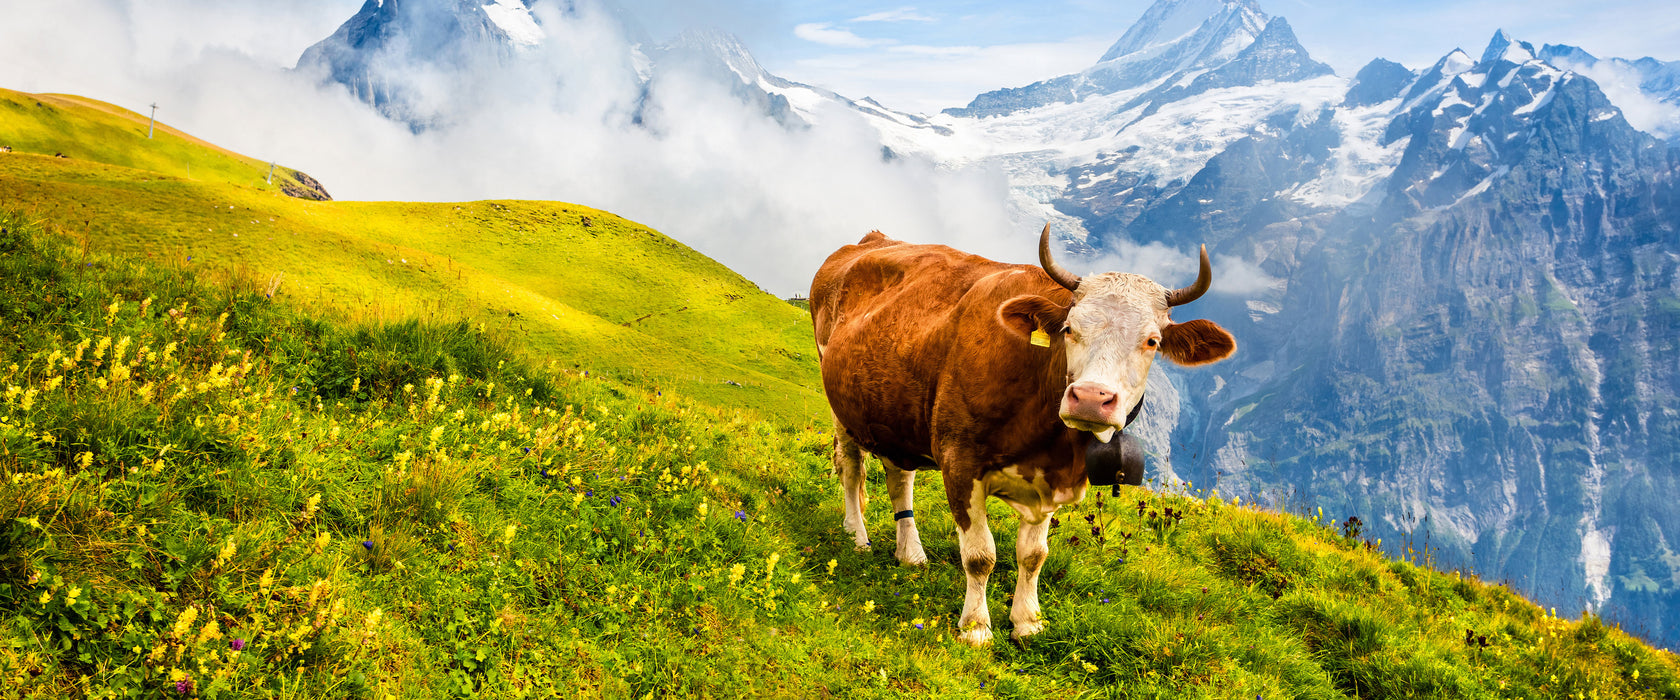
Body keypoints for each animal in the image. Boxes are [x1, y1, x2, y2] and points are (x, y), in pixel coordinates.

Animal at [809, 223, 1236, 644]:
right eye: (1069, 328)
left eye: (1152, 341)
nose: (1090, 398)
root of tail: (873, 239)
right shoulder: (959, 461)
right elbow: (980, 555)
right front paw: (976, 627)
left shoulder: (1050, 479)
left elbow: (1033, 555)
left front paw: (1027, 621)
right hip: (839, 403)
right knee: (852, 468)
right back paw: (857, 535)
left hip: (894, 411)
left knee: (900, 477)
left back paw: (910, 552)